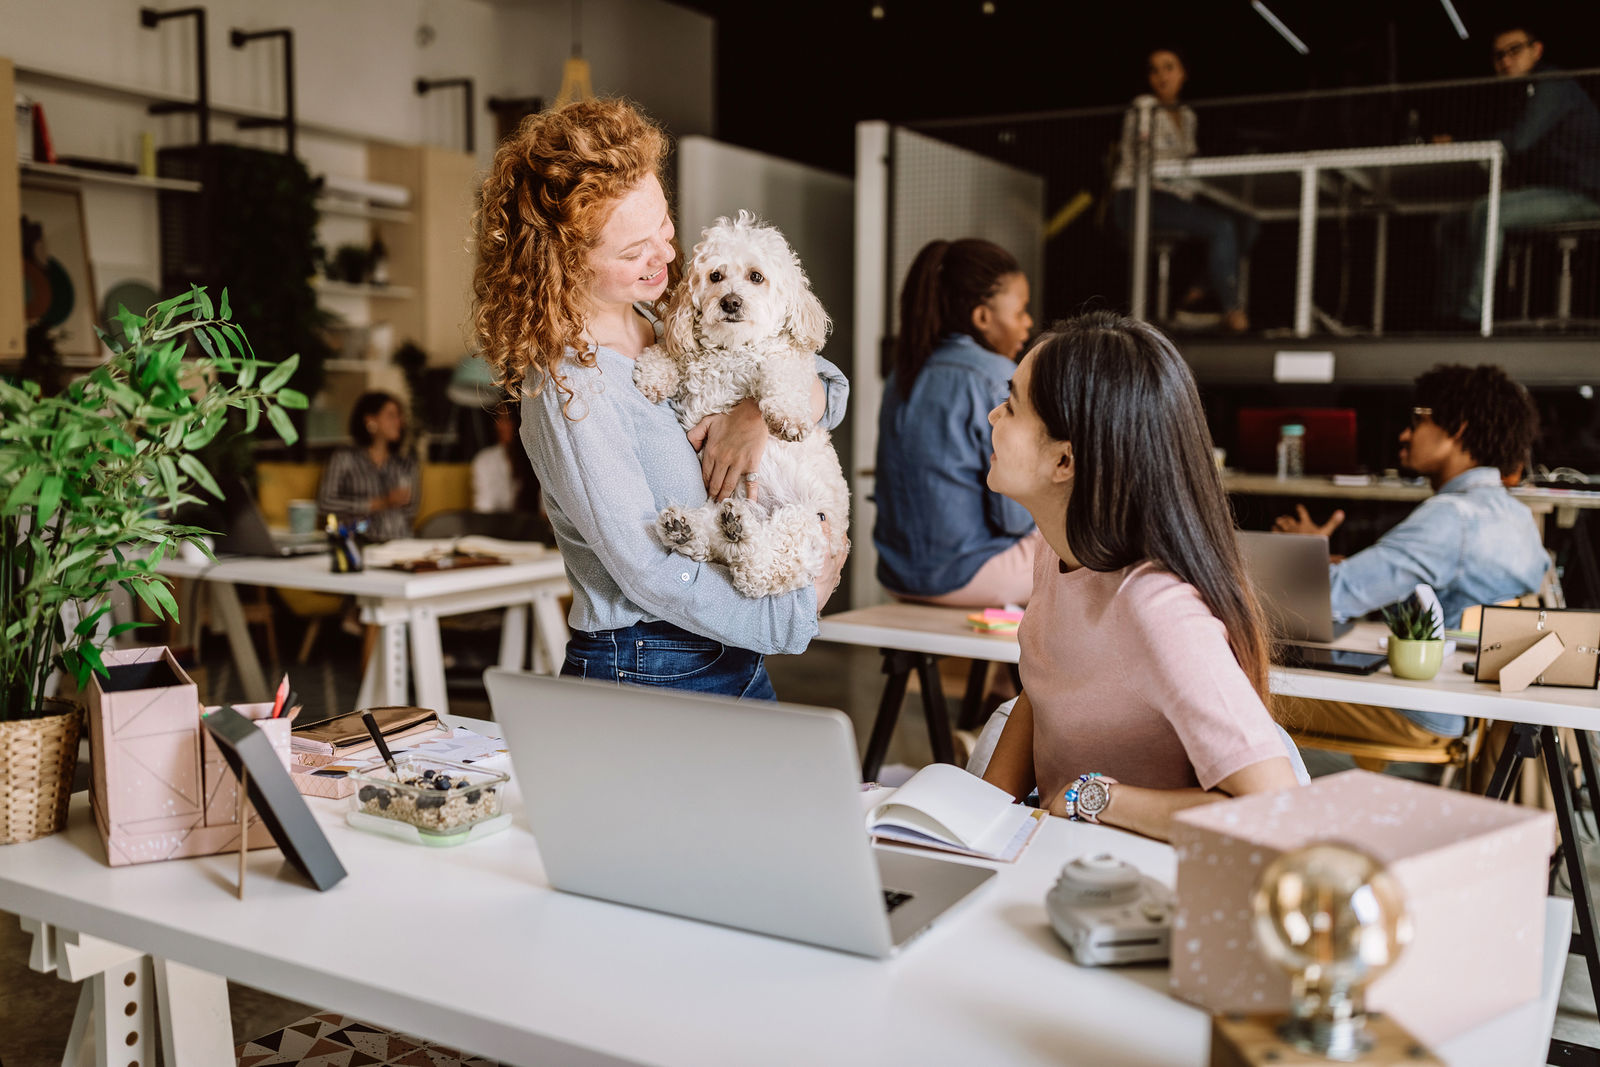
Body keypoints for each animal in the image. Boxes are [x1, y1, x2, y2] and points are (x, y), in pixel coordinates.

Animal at [633, 211, 851, 598]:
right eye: (715, 276)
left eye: (756, 277)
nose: (731, 302)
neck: (732, 349)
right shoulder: (686, 353)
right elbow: (668, 349)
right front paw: (655, 374)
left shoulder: (788, 359)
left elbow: (783, 374)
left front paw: (788, 418)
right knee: (721, 550)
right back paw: (688, 529)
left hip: (807, 524)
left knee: (759, 569)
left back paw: (738, 534)